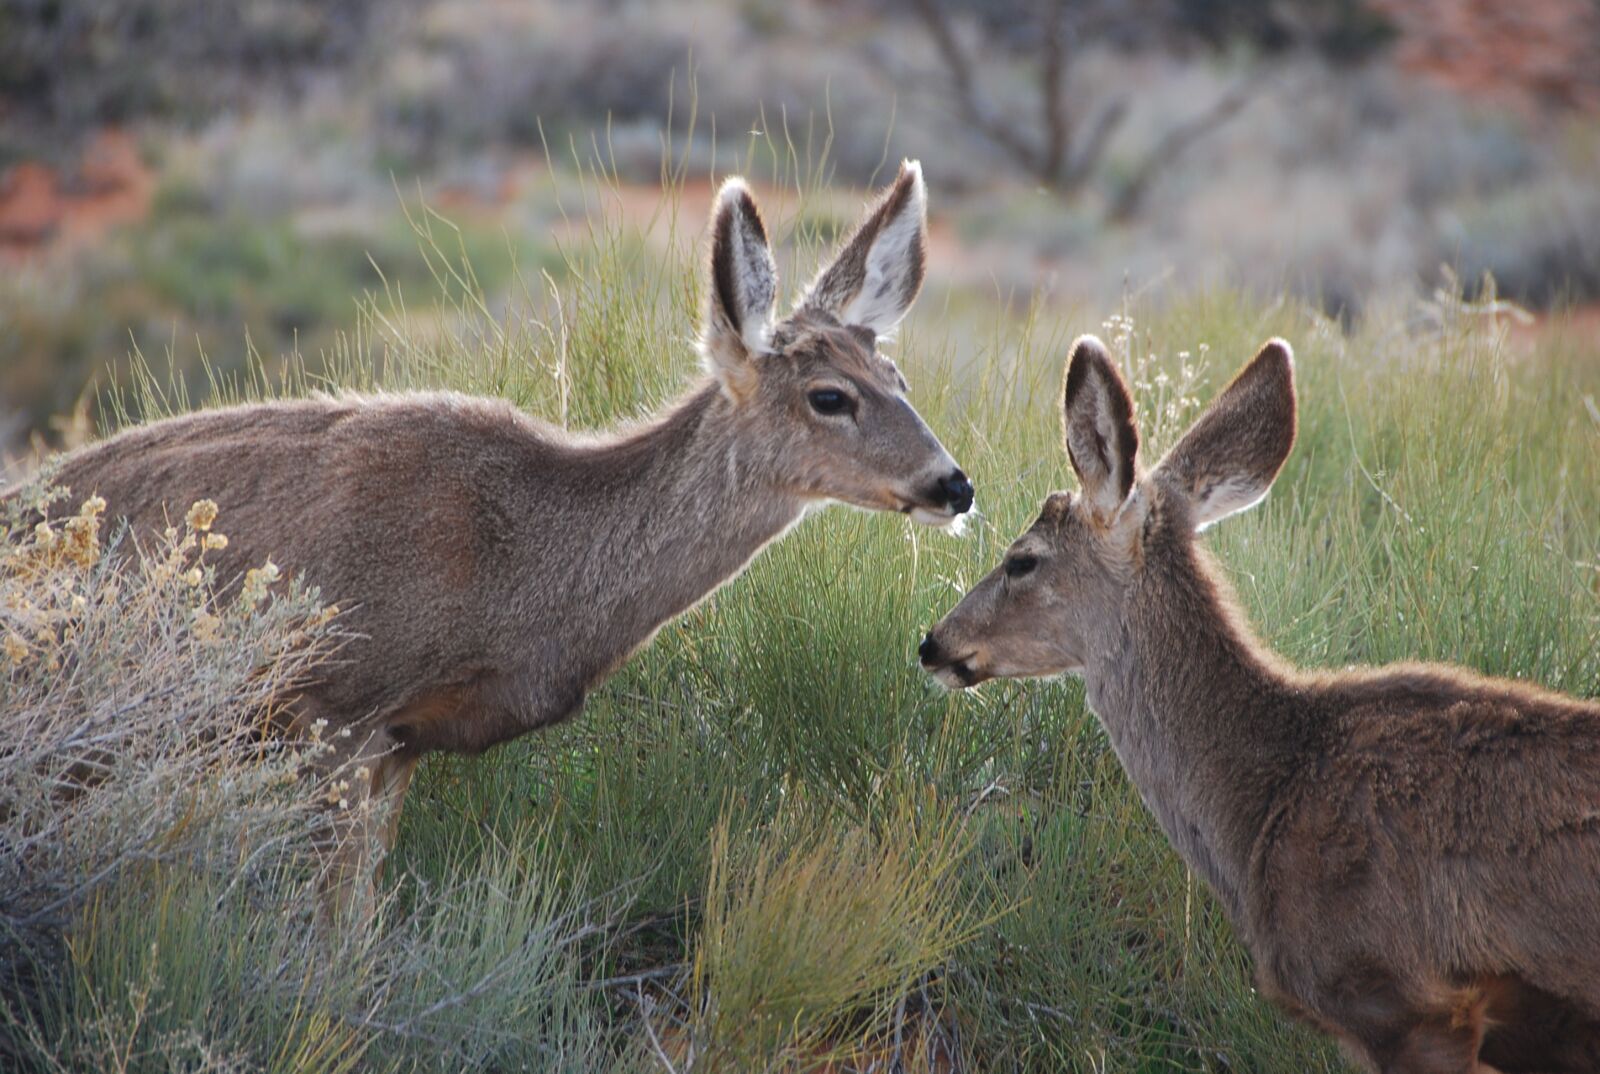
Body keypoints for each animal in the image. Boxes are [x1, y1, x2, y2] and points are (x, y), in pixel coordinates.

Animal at [9, 161, 974, 924]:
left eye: (897, 374)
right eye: (828, 397)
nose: (954, 484)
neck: (514, 568)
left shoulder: (401, 742)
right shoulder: (338, 707)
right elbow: (330, 939)